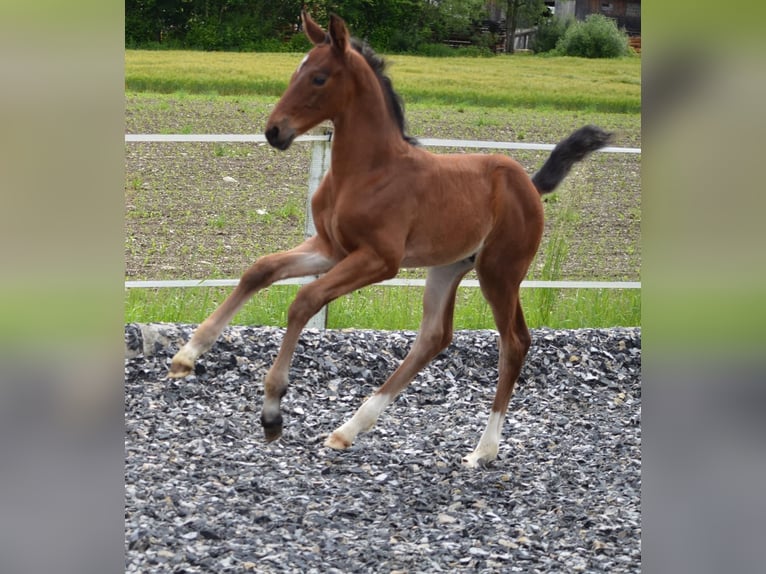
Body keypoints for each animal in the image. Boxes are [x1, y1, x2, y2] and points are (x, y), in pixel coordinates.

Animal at [168, 11, 612, 470]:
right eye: (296, 72)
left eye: (319, 78)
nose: (275, 131)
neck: (367, 172)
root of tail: (530, 184)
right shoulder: (331, 249)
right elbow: (260, 270)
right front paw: (186, 356)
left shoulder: (380, 260)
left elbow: (304, 301)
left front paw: (272, 411)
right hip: (449, 266)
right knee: (434, 337)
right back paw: (348, 429)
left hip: (500, 272)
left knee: (515, 342)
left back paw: (483, 450)